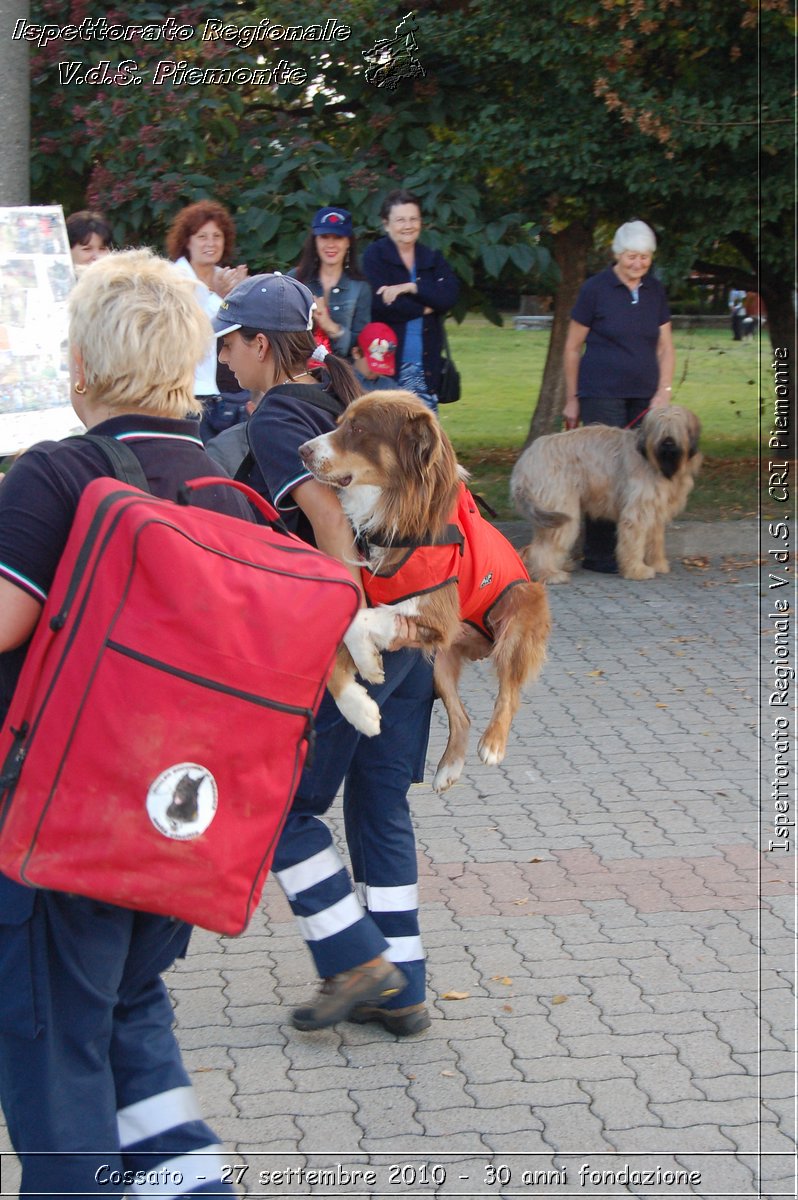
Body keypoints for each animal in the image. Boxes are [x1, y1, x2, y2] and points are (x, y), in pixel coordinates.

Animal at [295, 388, 552, 792]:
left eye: (358, 428)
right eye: (339, 422)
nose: (302, 451)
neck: (396, 509)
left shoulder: (436, 611)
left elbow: (359, 618)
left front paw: (367, 665)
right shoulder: (393, 606)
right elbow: (344, 644)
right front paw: (363, 705)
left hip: (518, 611)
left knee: (510, 691)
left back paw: (493, 745)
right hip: (439, 665)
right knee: (461, 715)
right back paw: (449, 769)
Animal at [506, 405, 700, 583]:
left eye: (677, 427)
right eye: (660, 427)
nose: (668, 443)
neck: (655, 462)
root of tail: (525, 461)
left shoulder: (656, 510)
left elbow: (656, 540)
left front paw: (658, 564)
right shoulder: (636, 511)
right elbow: (634, 542)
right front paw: (637, 570)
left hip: (547, 511)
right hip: (560, 507)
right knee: (542, 547)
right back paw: (549, 573)